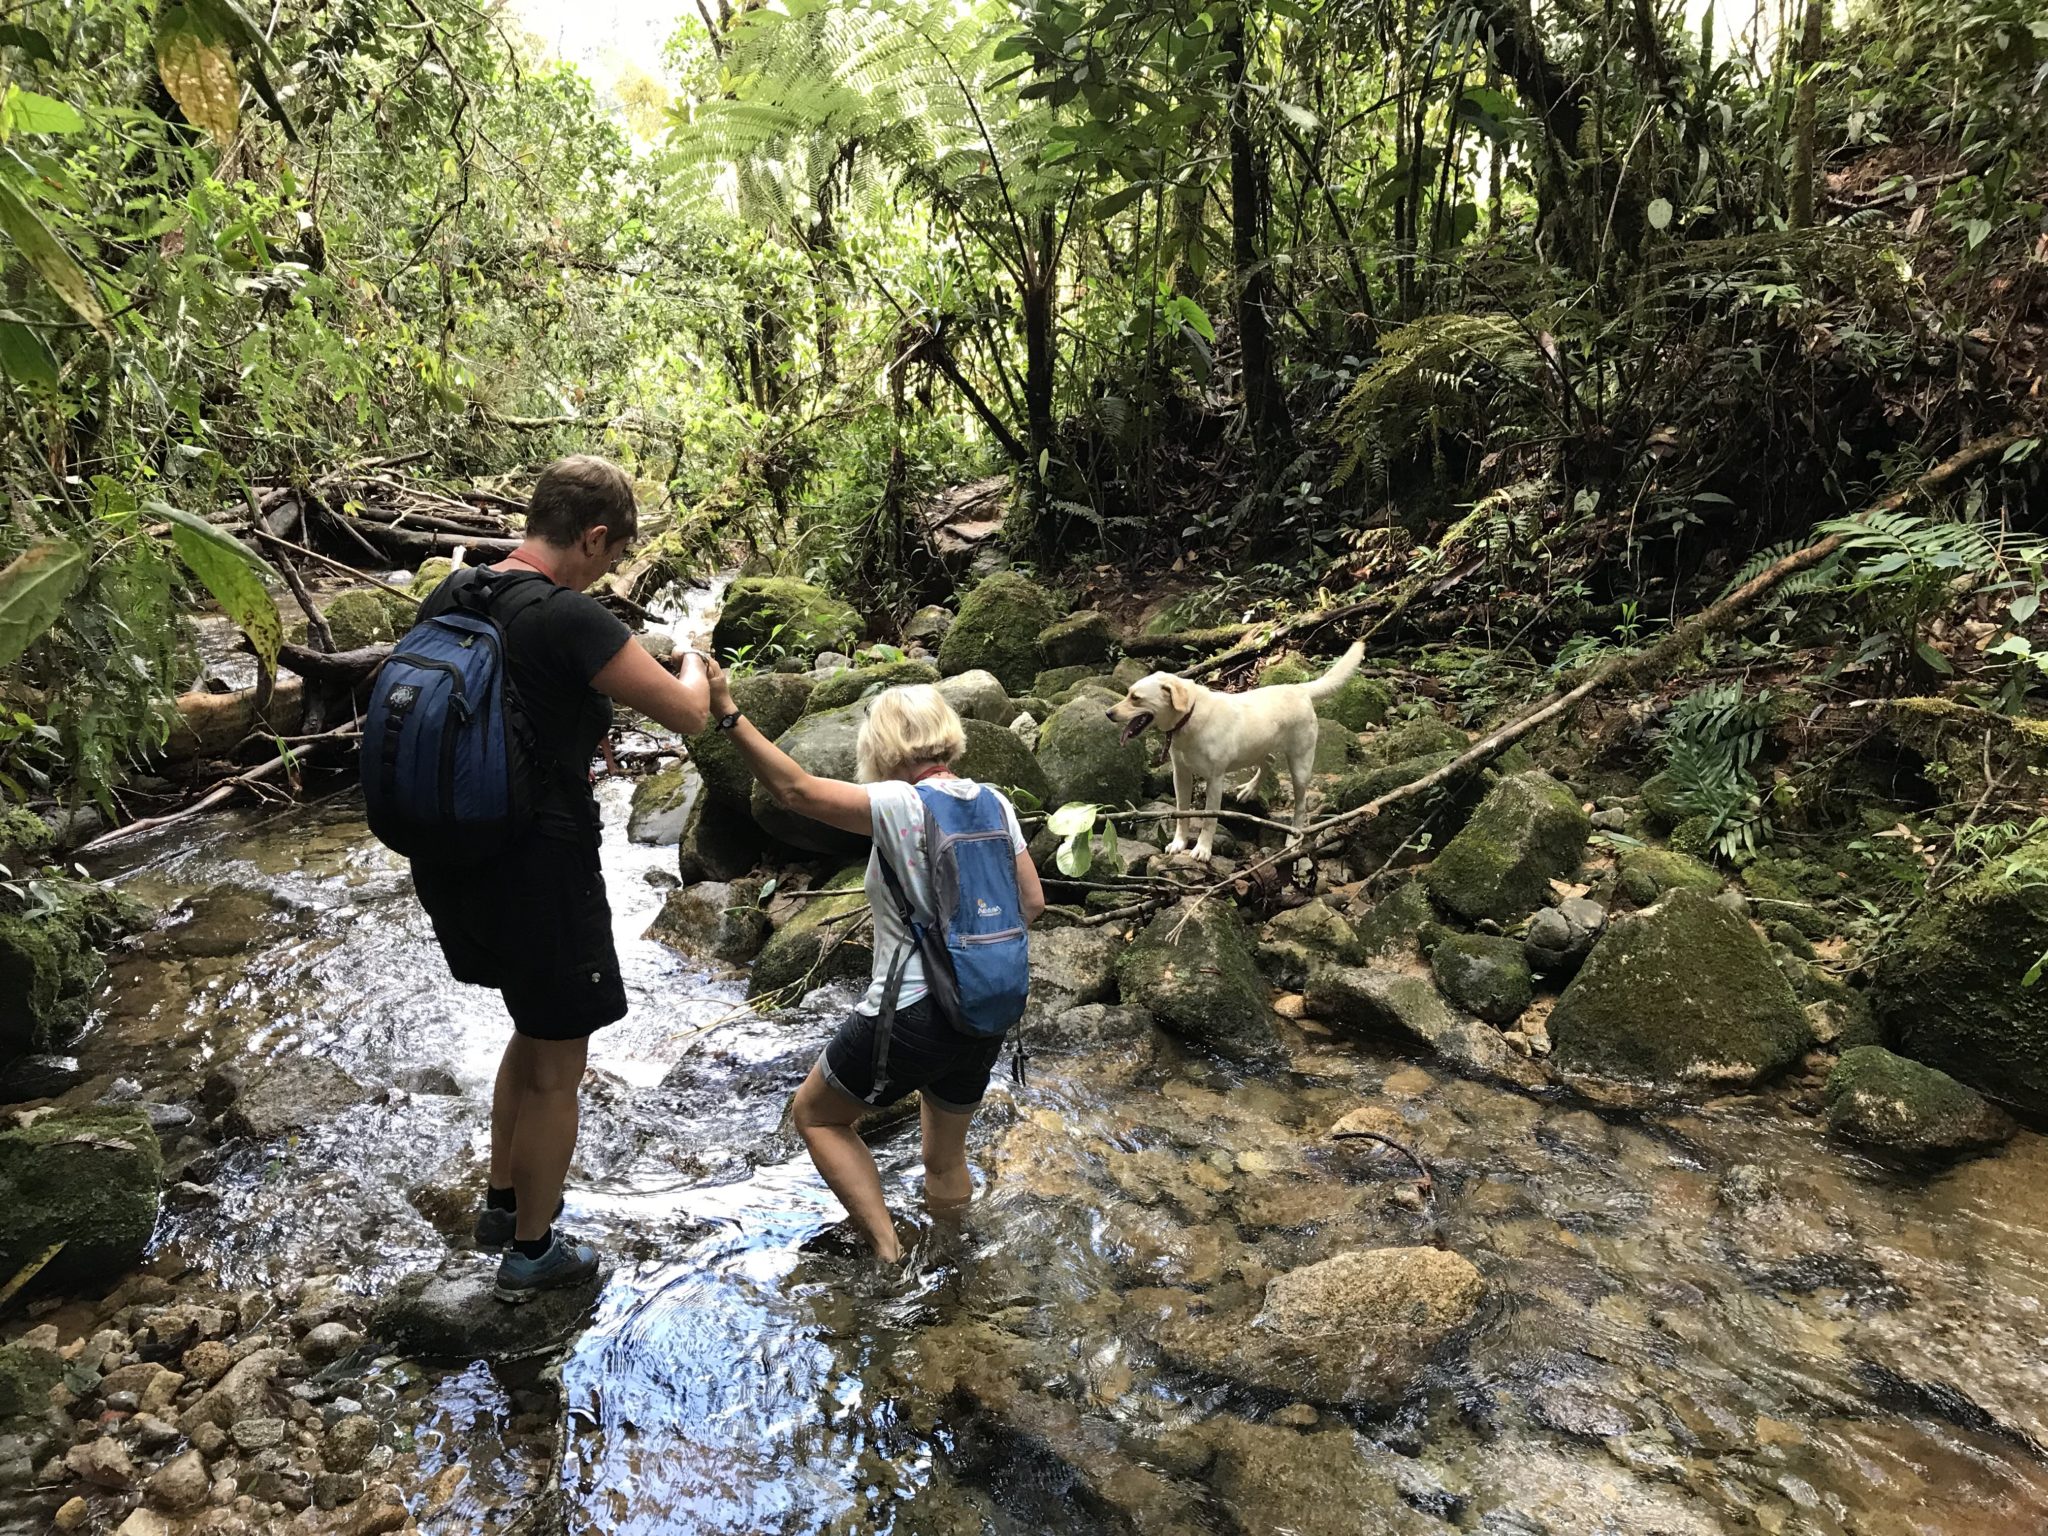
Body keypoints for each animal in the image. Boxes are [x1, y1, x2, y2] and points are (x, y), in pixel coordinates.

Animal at [1105, 643, 1359, 868]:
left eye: (1135, 698)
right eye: (1127, 693)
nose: (1108, 713)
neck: (1191, 715)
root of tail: (1299, 689)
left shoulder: (1215, 780)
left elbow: (1209, 819)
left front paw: (1202, 849)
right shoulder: (1181, 775)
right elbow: (1181, 812)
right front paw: (1179, 843)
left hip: (1300, 765)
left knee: (1300, 805)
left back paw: (1293, 839)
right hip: (1254, 748)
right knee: (1269, 760)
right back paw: (1250, 790)